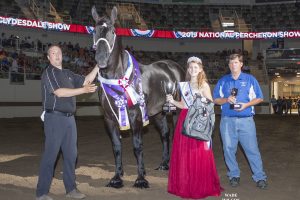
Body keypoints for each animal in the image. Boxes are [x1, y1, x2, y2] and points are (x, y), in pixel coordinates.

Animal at [91, 5, 185, 188]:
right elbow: (116, 147)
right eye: (94, 30)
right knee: (165, 134)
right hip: (158, 113)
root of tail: (174, 66)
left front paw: (141, 179)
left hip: (176, 110)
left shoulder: (136, 115)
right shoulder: (109, 118)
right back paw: (164, 164)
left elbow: (137, 146)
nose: (101, 59)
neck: (118, 78)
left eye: (113, 31)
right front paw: (117, 177)